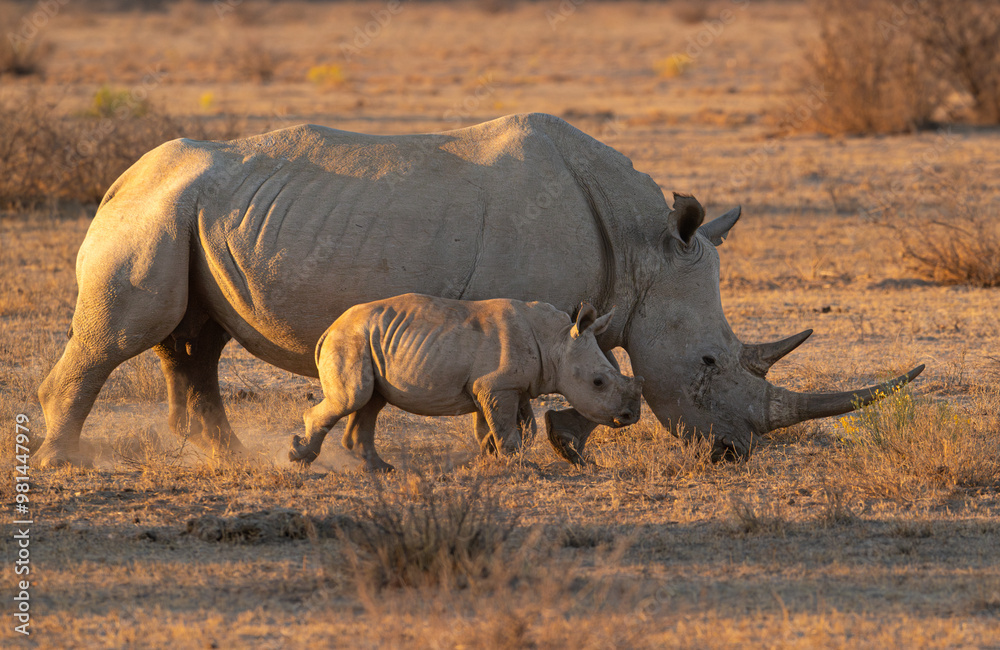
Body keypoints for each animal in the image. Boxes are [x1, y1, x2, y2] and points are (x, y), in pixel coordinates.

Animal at [288, 294, 643, 470]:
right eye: (598, 382)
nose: (630, 416)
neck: (555, 341)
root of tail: (330, 328)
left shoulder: (511, 385)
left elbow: (519, 426)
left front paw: (490, 455)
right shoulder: (496, 386)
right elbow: (507, 427)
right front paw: (519, 466)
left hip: (370, 341)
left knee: (371, 402)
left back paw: (381, 469)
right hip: (350, 340)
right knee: (354, 398)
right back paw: (299, 458)